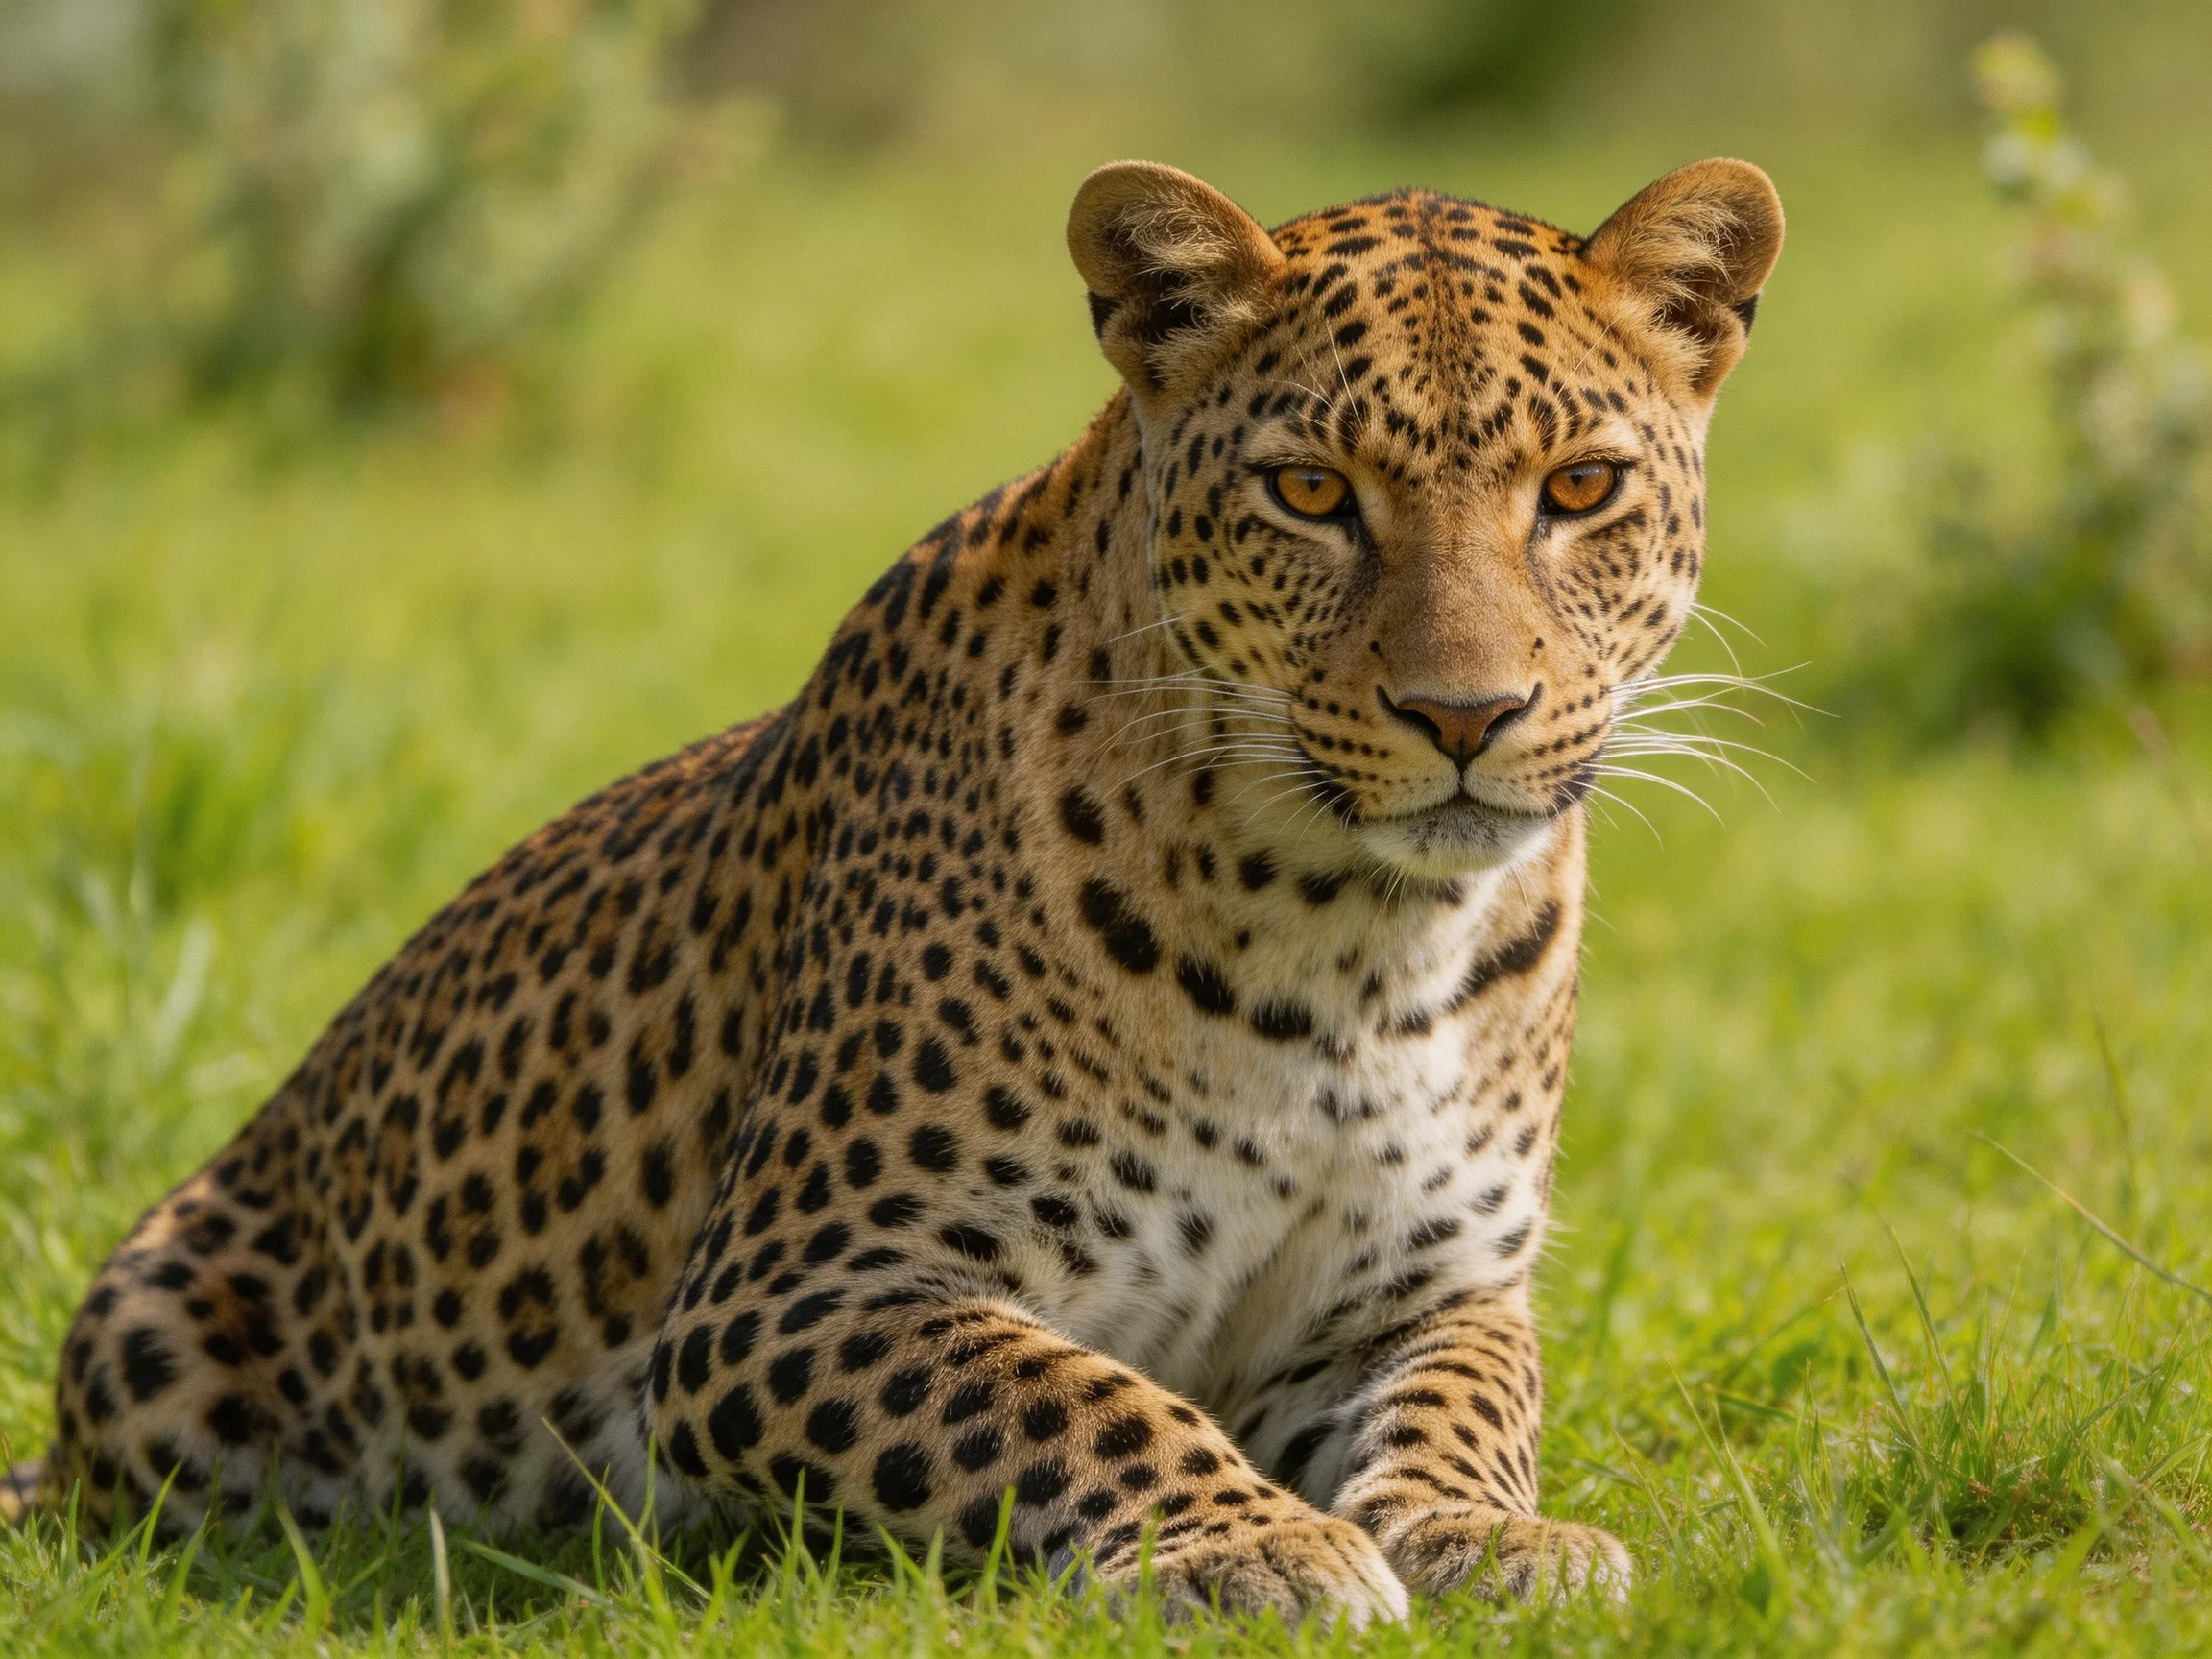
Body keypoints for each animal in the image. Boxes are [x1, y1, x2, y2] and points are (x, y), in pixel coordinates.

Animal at [3, 156, 1782, 1625]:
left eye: (1578, 490)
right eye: (1309, 493)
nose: (1465, 714)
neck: (1353, 944)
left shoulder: (1430, 1289)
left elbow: (1469, 1407)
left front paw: (1483, 1530)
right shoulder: (793, 1294)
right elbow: (1088, 1399)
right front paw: (1256, 1543)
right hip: (162, 1313)